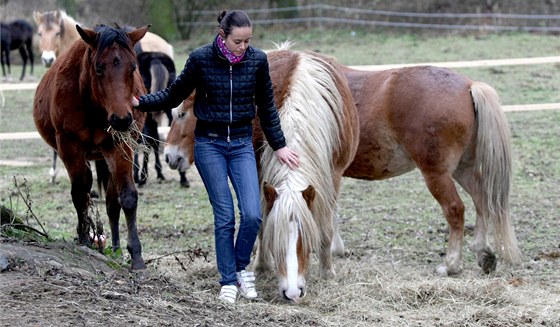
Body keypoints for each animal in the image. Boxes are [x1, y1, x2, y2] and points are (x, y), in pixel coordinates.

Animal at [33, 22, 149, 270]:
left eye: (133, 67)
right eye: (99, 68)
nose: (122, 119)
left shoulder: (120, 148)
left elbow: (127, 197)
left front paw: (136, 256)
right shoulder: (69, 147)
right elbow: (80, 192)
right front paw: (85, 238)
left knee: (112, 203)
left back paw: (115, 248)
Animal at [340, 64, 524, 276]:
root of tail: (469, 86)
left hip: (437, 175)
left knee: (455, 209)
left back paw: (451, 264)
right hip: (462, 169)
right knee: (481, 199)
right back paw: (483, 253)